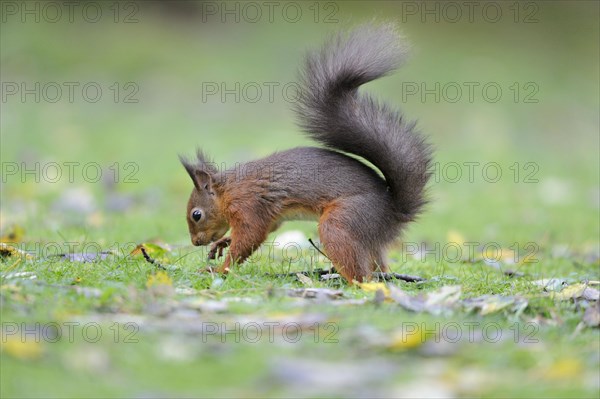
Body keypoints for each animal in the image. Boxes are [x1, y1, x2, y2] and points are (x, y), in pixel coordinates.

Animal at [180, 23, 434, 284]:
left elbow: (250, 237)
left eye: (196, 214)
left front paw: (219, 270)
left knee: (362, 274)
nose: (195, 242)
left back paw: (347, 280)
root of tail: (393, 213)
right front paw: (222, 243)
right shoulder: (271, 216)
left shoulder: (248, 205)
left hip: (341, 223)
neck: (228, 190)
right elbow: (266, 230)